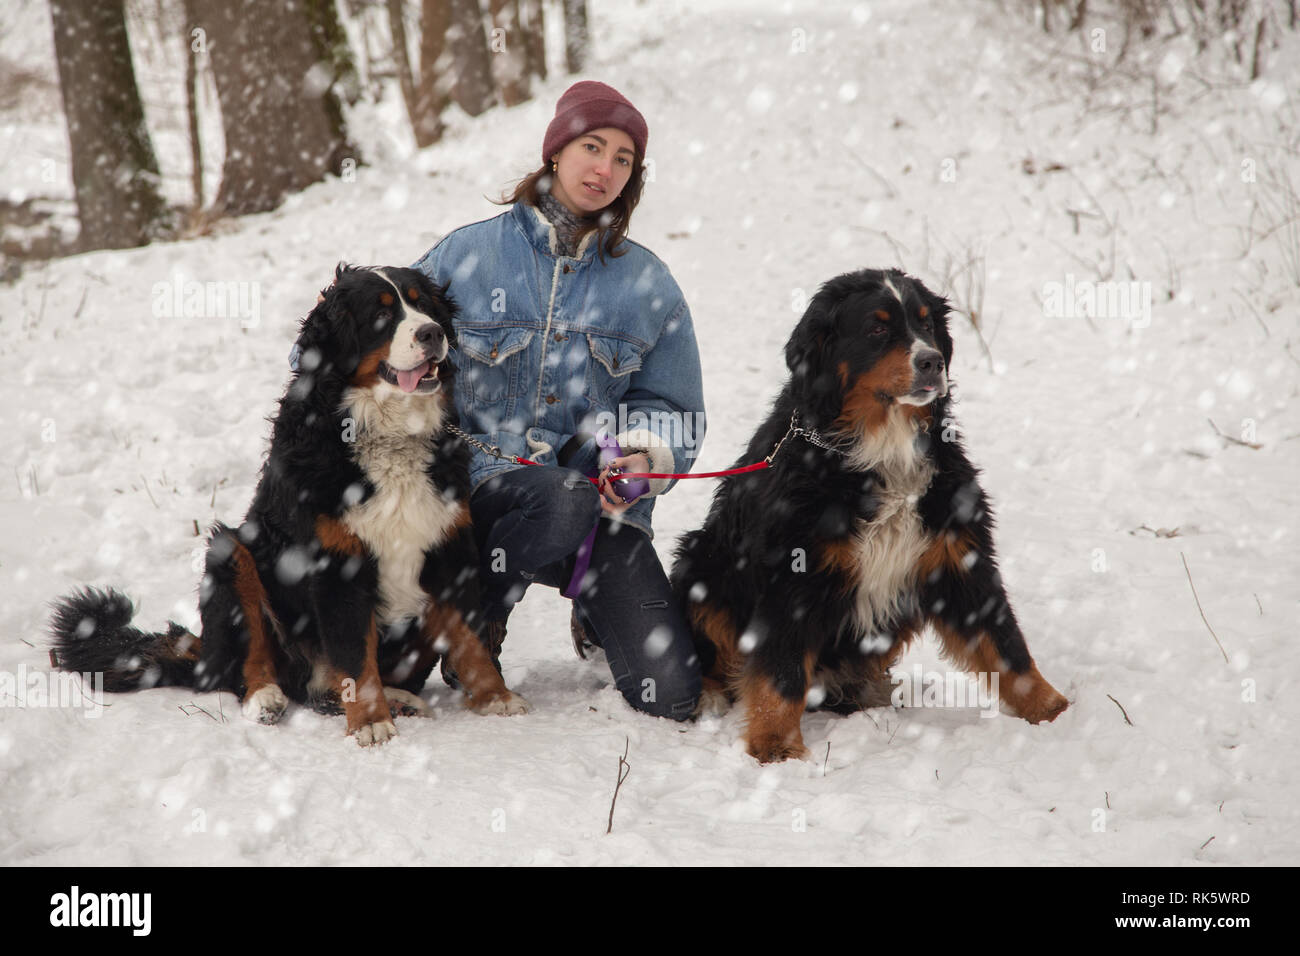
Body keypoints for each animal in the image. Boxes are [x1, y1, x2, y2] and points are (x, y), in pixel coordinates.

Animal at [50, 264, 527, 749]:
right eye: (381, 316)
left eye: (424, 305)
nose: (432, 333)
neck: (387, 433)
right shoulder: (337, 563)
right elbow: (354, 656)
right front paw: (370, 723)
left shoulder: (450, 545)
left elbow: (470, 638)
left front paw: (496, 698)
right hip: (231, 552)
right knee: (251, 668)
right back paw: (266, 698)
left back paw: (401, 699)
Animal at [670, 267, 1066, 764]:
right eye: (877, 330)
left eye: (926, 323)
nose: (932, 361)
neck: (883, 448)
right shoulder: (792, 575)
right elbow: (781, 672)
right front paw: (776, 746)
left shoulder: (960, 556)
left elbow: (1007, 645)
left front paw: (1052, 710)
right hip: (700, 561)